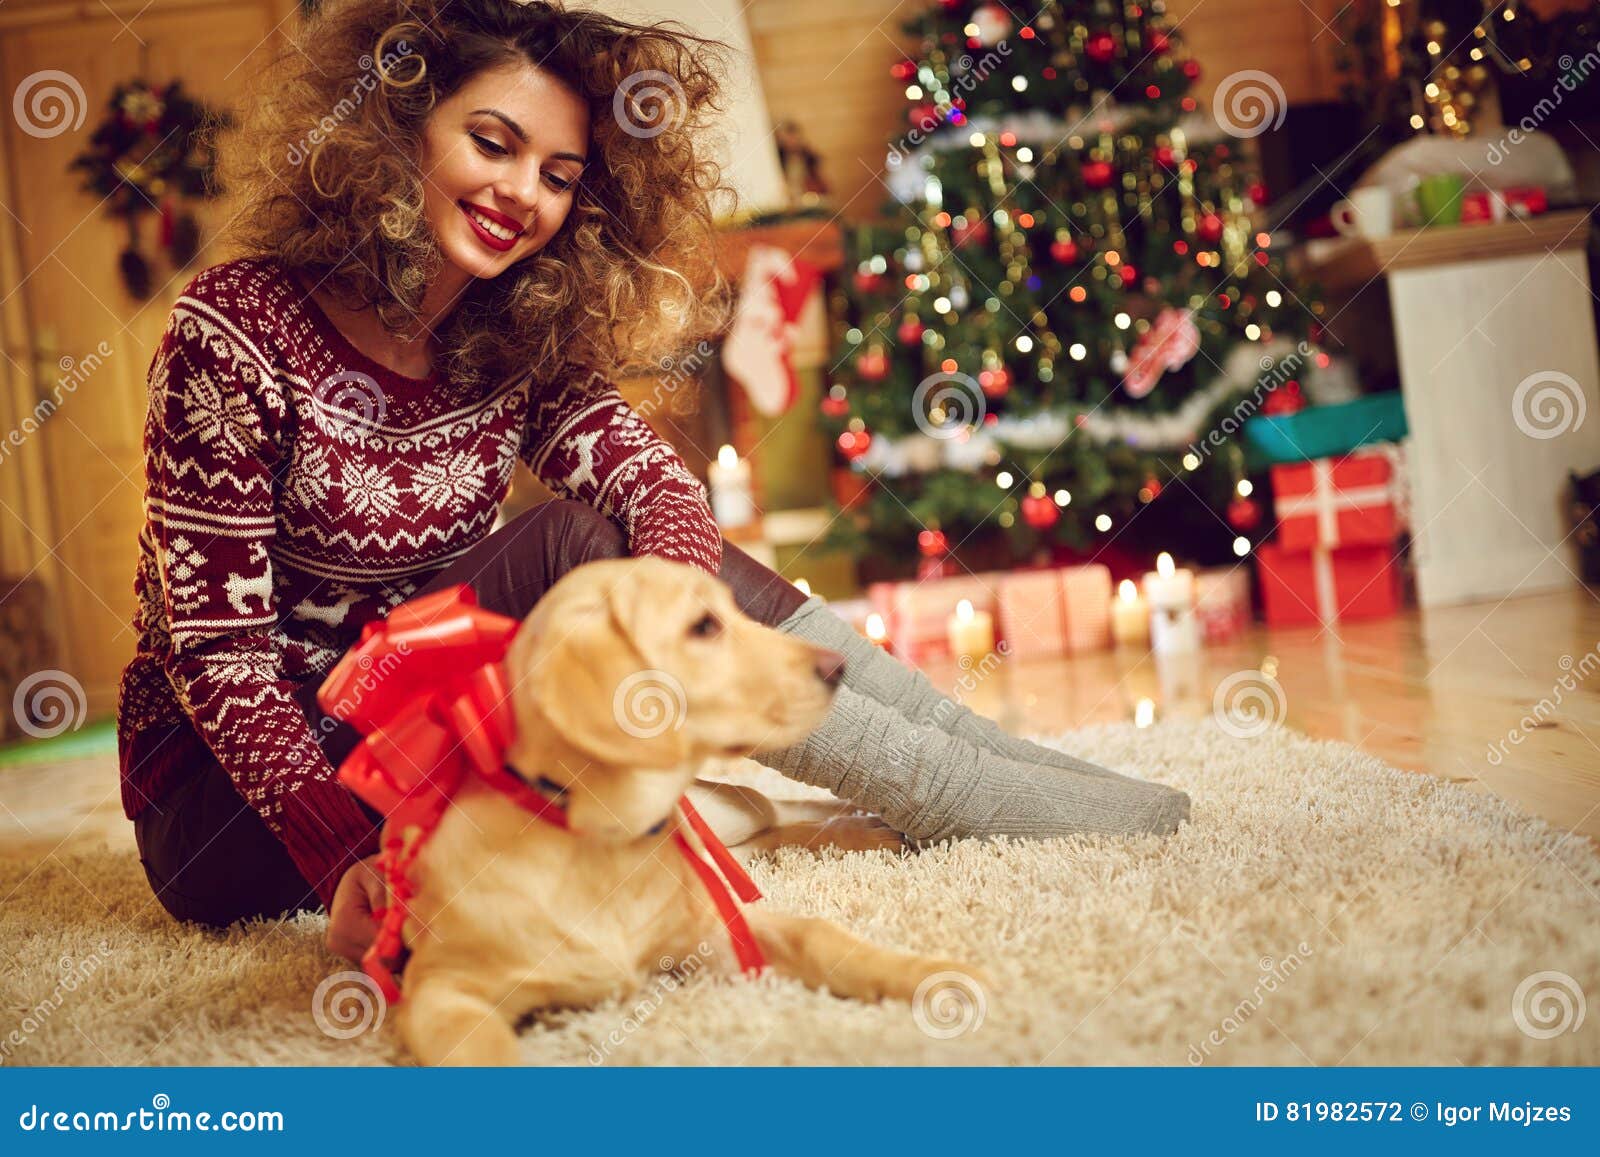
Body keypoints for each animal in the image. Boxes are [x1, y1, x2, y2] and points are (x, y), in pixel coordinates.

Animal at [390, 560, 985, 1068]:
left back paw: (867, 827)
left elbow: (821, 937)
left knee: (787, 810)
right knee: (772, 837)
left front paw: (933, 976)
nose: (838, 667)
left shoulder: (717, 931)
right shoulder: (439, 990)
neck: (602, 840)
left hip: (725, 811)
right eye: (703, 626)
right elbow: (482, 1049)